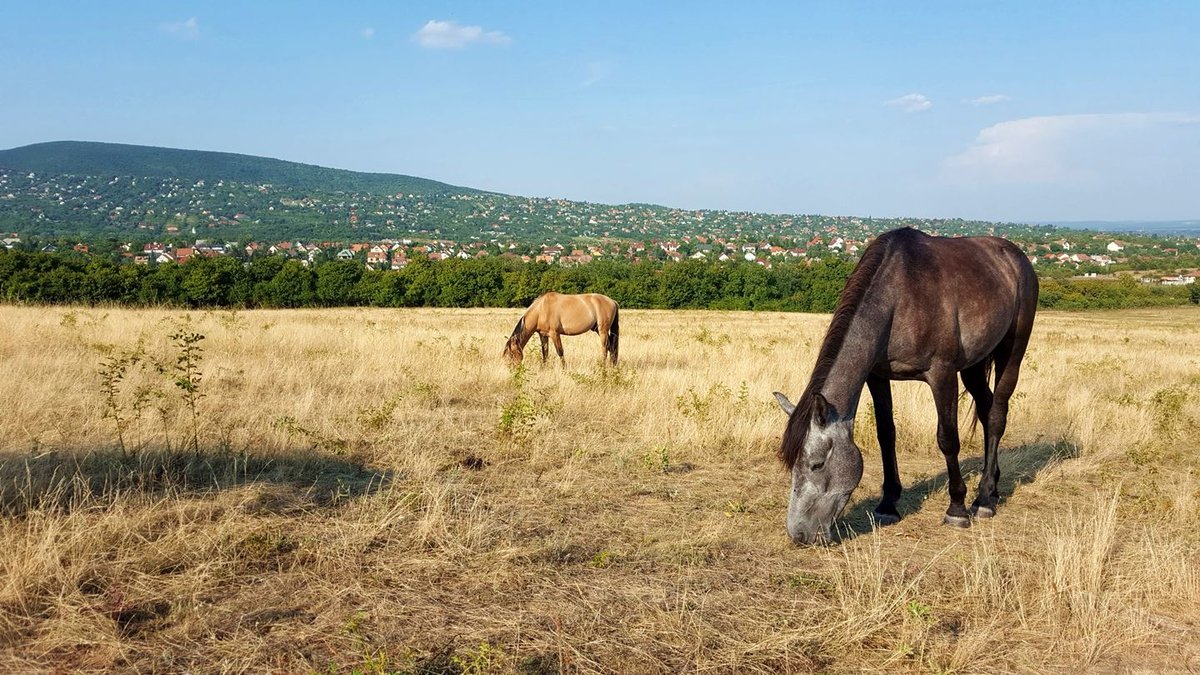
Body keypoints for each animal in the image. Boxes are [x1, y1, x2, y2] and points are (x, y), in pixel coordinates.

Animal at [772, 225, 1036, 540]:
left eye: (817, 464)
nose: (798, 533)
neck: (898, 298)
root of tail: (1017, 256)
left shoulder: (942, 374)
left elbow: (948, 439)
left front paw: (956, 508)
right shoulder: (877, 376)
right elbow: (886, 434)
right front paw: (888, 504)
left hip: (1012, 352)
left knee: (996, 415)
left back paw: (983, 500)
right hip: (973, 366)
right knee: (985, 410)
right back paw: (993, 487)